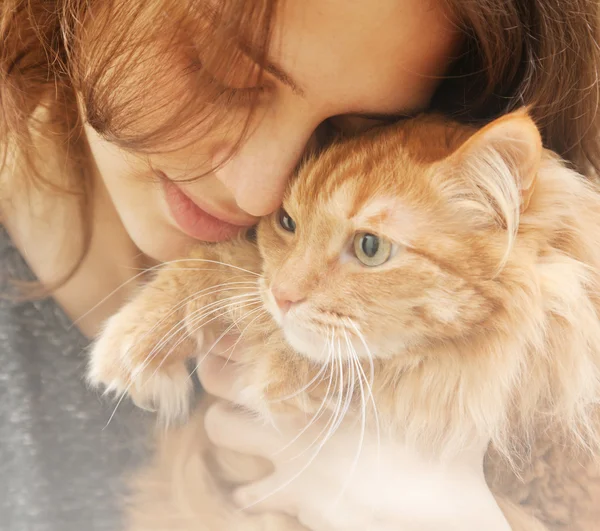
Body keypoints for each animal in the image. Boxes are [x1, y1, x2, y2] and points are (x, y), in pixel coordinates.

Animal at [89, 109, 600, 531]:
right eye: (287, 222)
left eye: (370, 248)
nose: (283, 296)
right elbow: (220, 263)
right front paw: (138, 337)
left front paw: (280, 370)